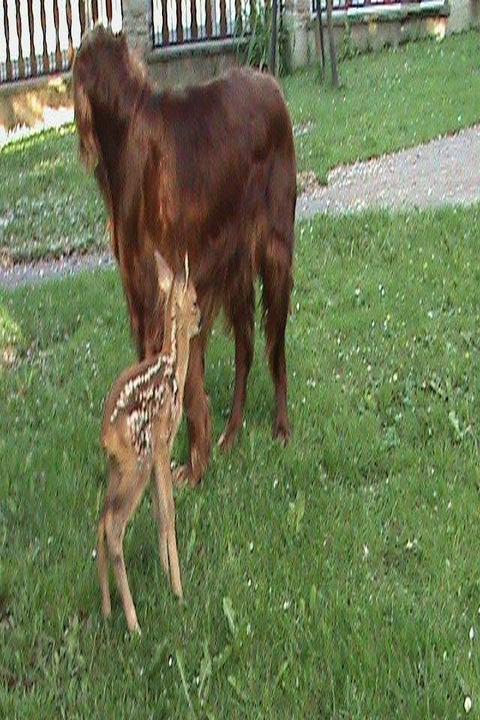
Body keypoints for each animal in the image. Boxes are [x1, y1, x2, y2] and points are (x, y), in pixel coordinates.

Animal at [97, 250, 201, 632]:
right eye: (195, 301)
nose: (200, 321)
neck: (173, 367)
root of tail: (107, 435)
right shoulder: (162, 442)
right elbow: (168, 511)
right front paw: (178, 587)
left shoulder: (159, 451)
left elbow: (159, 512)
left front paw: (164, 571)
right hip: (137, 462)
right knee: (113, 527)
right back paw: (133, 623)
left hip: (119, 468)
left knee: (101, 519)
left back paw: (108, 608)